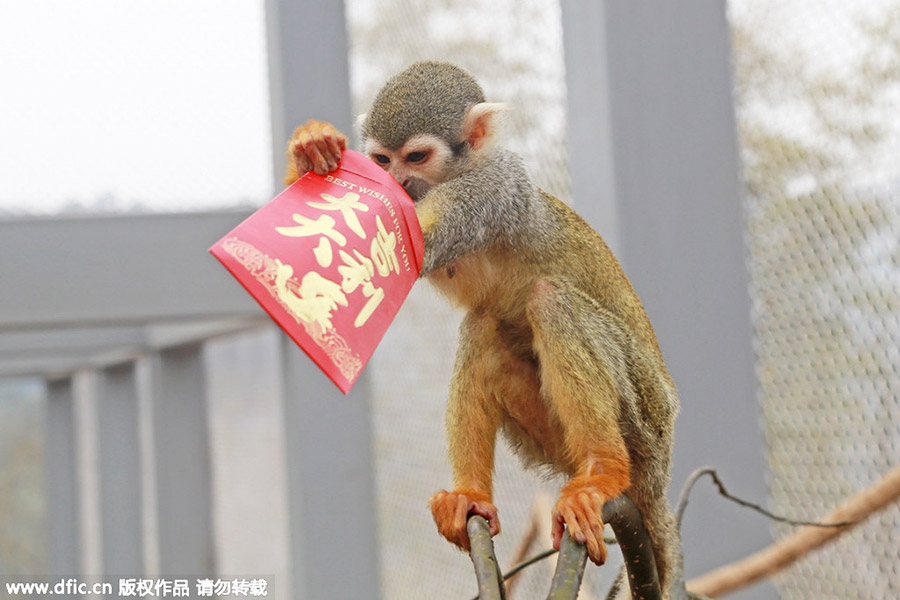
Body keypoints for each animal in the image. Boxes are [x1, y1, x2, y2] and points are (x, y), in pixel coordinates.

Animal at [288, 62, 684, 600]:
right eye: (382, 160)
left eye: (416, 157)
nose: (397, 181)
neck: (462, 170)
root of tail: (658, 478)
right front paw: (309, 149)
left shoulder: (490, 189)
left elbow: (413, 241)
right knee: (483, 325)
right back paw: (471, 497)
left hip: (644, 418)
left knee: (549, 300)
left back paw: (603, 473)